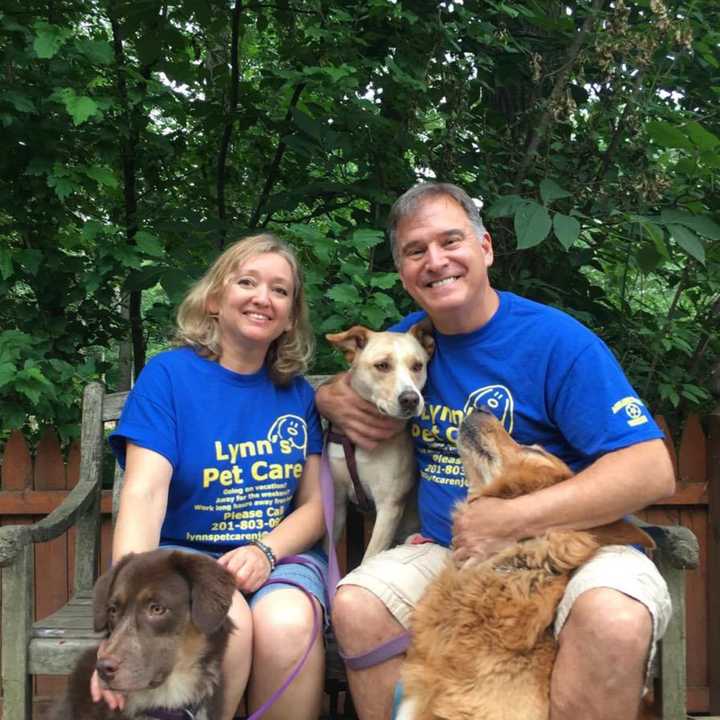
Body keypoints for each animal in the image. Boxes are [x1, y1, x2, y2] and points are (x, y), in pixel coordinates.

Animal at [326, 320, 434, 564]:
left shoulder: (389, 506)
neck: (358, 444)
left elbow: (368, 557)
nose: (410, 399)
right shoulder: (337, 501)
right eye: (382, 365)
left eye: (417, 366)